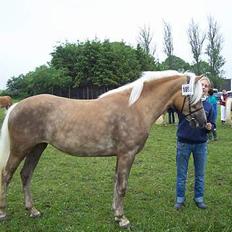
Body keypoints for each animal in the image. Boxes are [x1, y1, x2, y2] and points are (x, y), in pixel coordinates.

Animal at [0, 70, 207, 227]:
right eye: (194, 96)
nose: (204, 123)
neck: (135, 108)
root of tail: (16, 106)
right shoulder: (127, 154)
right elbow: (122, 186)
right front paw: (122, 219)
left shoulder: (120, 156)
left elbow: (116, 183)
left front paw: (116, 212)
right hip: (20, 149)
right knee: (7, 175)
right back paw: (3, 213)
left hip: (37, 148)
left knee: (25, 175)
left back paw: (33, 210)